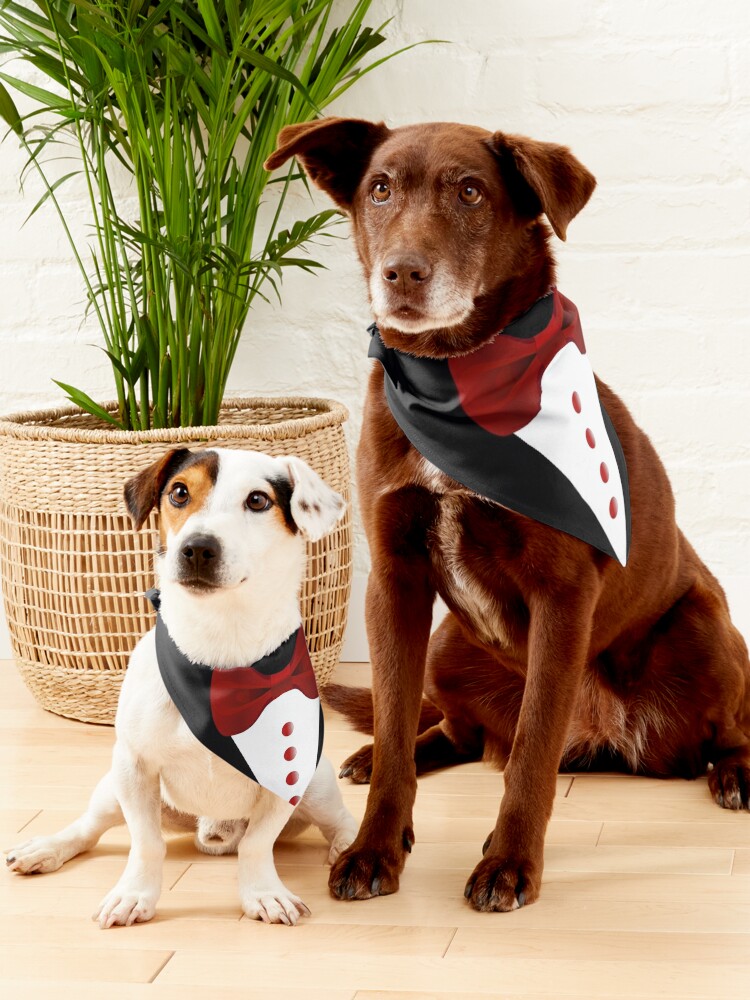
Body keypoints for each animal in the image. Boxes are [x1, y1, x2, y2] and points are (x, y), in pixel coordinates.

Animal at [5, 450, 358, 924]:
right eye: (179, 492)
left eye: (258, 500)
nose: (198, 547)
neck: (216, 648)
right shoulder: (133, 766)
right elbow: (146, 843)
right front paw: (134, 894)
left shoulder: (285, 775)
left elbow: (257, 844)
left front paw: (263, 893)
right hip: (113, 788)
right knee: (89, 828)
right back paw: (46, 848)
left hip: (315, 785)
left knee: (340, 820)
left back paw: (349, 849)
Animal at [266, 121, 750, 912]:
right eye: (380, 188)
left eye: (470, 192)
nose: (402, 273)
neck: (452, 378)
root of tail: (611, 740)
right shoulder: (393, 581)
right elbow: (397, 722)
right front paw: (374, 847)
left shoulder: (562, 597)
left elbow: (530, 753)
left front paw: (508, 863)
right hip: (448, 647)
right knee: (454, 730)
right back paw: (381, 753)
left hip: (703, 632)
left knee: (728, 725)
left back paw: (735, 773)